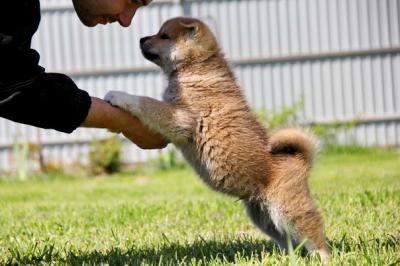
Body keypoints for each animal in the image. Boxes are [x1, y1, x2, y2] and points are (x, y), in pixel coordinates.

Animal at [104, 16, 330, 260]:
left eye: (163, 36)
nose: (141, 39)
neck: (196, 66)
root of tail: (300, 161)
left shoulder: (180, 117)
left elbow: (145, 102)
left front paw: (118, 95)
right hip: (263, 215)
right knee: (284, 239)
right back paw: (283, 258)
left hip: (289, 210)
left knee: (314, 235)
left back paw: (323, 257)